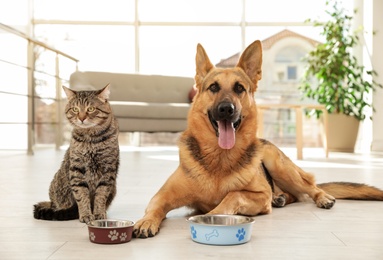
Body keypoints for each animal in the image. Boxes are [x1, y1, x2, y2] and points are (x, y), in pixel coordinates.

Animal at [34, 84, 120, 222]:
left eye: (90, 109)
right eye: (75, 109)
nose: (81, 118)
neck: (91, 139)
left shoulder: (108, 171)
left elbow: (101, 195)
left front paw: (99, 213)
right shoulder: (76, 169)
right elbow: (81, 195)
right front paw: (85, 214)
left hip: (114, 187)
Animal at [134, 40, 383, 238]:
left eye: (239, 88)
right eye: (213, 87)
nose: (226, 109)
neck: (219, 159)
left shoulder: (260, 195)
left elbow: (233, 195)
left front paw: (214, 213)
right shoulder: (162, 195)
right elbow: (154, 208)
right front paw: (145, 221)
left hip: (279, 165)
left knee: (310, 188)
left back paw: (321, 198)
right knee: (294, 195)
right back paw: (281, 198)